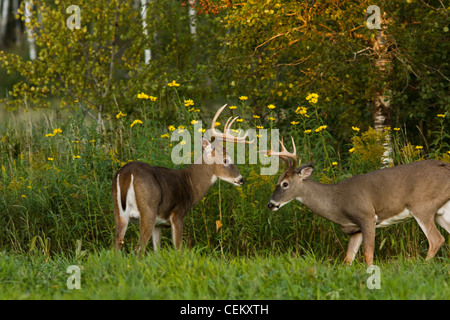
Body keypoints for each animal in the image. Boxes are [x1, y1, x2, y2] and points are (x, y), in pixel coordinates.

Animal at [111, 104, 253, 252]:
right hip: (148, 210)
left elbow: (157, 251)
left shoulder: (158, 224)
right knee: (139, 248)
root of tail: (127, 173)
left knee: (116, 245)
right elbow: (178, 249)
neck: (189, 183)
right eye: (226, 160)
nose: (241, 179)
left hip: (119, 213)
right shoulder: (177, 215)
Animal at [260, 139, 450, 266]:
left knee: (436, 239)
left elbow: (368, 255)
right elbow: (348, 259)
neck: (337, 202)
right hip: (441, 212)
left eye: (285, 184)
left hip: (422, 206)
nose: (271, 204)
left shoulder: (367, 216)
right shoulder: (354, 230)